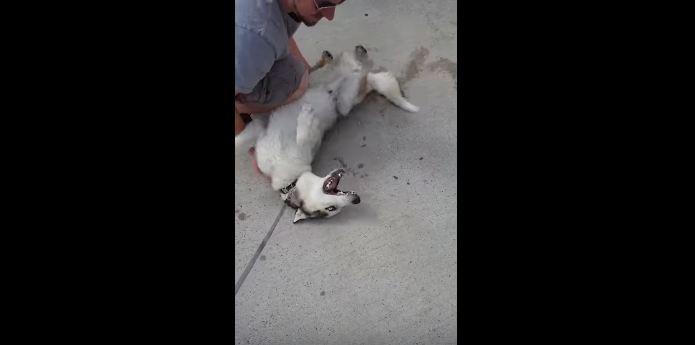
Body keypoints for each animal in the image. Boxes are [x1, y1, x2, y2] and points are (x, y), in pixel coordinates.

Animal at [234, 45, 418, 223]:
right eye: (331, 209)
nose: (356, 199)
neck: (289, 181)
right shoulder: (260, 129)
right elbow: (240, 142)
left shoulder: (296, 137)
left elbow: (301, 136)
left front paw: (305, 117)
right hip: (344, 98)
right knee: (354, 77)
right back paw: (353, 57)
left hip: (339, 98)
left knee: (323, 72)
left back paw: (343, 57)